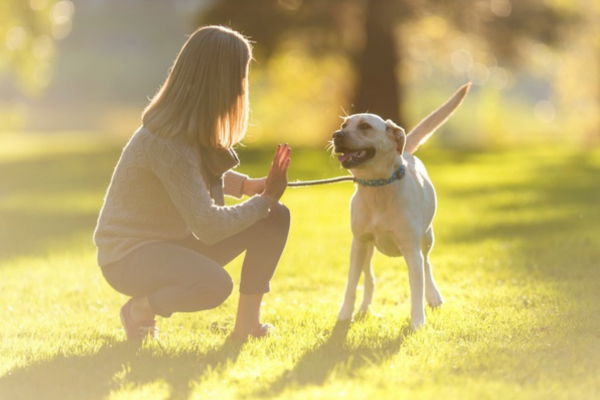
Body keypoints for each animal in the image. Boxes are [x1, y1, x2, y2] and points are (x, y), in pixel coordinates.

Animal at [332, 83, 468, 328]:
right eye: (343, 125)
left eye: (365, 126)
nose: (335, 135)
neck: (378, 187)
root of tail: (406, 152)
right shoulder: (359, 243)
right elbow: (351, 284)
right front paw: (345, 315)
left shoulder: (411, 249)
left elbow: (416, 288)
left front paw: (417, 323)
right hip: (365, 249)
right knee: (369, 278)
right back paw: (364, 308)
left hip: (427, 238)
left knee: (426, 266)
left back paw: (433, 296)